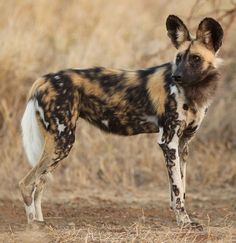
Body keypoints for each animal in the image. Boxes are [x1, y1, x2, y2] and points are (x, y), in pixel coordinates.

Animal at [20, 15, 223, 228]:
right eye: (178, 58)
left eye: (195, 59)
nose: (177, 76)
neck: (194, 93)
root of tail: (44, 79)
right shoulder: (168, 142)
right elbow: (177, 190)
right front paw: (184, 221)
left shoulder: (182, 145)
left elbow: (181, 188)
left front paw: (182, 217)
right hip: (63, 142)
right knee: (27, 183)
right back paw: (33, 224)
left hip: (57, 145)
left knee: (39, 184)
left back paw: (41, 221)